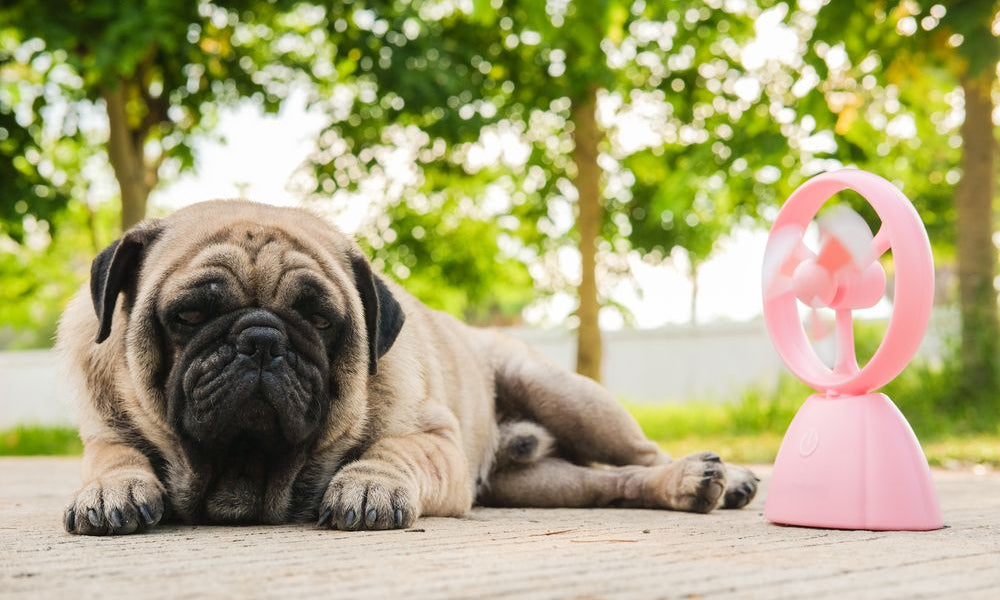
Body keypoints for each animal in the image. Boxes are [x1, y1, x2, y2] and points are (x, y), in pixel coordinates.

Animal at [56, 202, 756, 536]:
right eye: (190, 314)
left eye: (320, 318)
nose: (261, 339)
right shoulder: (106, 434)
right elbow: (116, 458)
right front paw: (112, 491)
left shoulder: (433, 440)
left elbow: (391, 452)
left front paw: (369, 485)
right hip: (540, 483)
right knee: (610, 484)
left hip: (566, 395)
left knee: (641, 456)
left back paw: (709, 477)